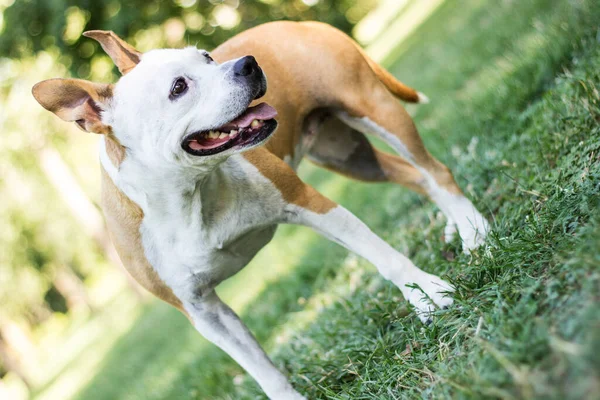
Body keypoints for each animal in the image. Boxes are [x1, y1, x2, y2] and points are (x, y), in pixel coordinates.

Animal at [32, 22, 490, 400]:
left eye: (207, 57)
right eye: (178, 88)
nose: (247, 64)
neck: (189, 194)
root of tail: (293, 21)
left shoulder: (309, 204)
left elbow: (387, 258)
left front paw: (429, 294)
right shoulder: (205, 312)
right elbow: (259, 368)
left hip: (375, 109)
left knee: (435, 171)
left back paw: (473, 231)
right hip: (350, 156)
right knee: (415, 176)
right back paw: (456, 226)